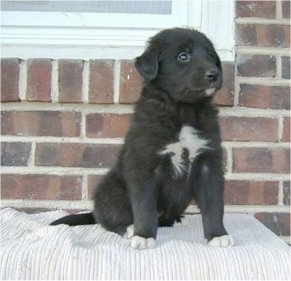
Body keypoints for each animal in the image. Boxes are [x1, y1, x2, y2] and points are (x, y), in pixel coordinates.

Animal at [51, 27, 234, 248]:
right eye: (183, 56)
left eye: (210, 56)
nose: (214, 74)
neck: (183, 110)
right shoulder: (144, 165)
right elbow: (144, 206)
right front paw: (144, 236)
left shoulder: (208, 163)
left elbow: (214, 204)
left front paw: (217, 235)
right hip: (111, 190)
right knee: (108, 218)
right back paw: (129, 229)